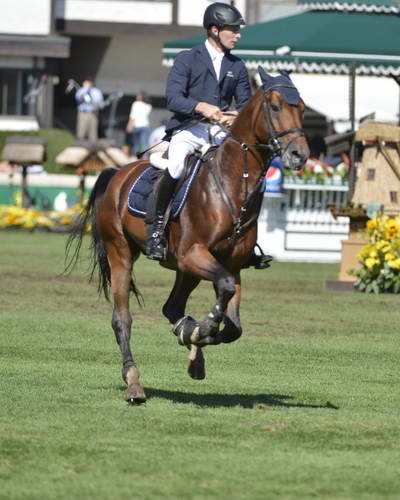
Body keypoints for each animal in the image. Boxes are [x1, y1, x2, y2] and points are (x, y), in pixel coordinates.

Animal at [66, 67, 310, 402]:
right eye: (275, 107)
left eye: (303, 109)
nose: (300, 155)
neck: (231, 184)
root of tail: (117, 172)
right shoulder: (195, 254)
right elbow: (223, 295)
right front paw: (201, 328)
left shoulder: (231, 265)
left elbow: (232, 324)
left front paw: (194, 335)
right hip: (123, 253)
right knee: (122, 319)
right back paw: (134, 382)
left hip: (186, 270)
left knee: (172, 307)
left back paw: (188, 340)